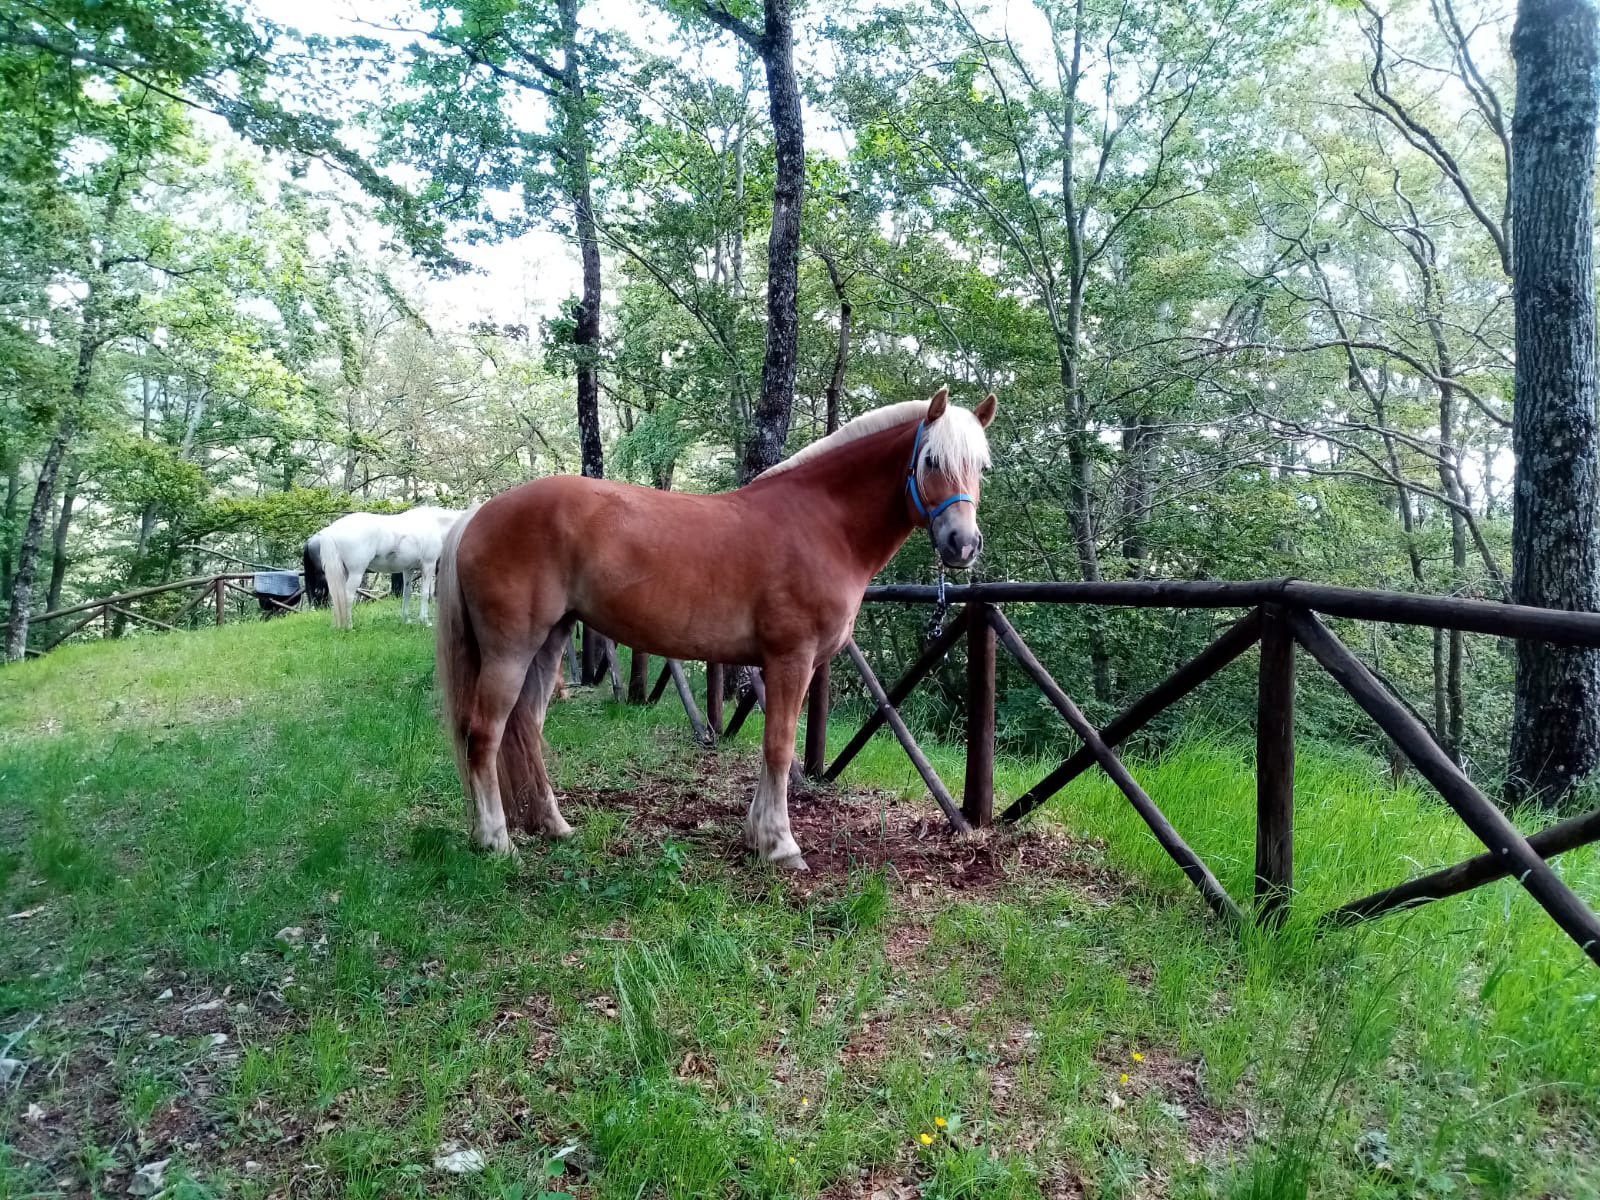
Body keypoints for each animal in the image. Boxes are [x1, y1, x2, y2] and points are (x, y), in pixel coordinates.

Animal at [314, 507, 464, 629]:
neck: (436, 524)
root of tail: (332, 530)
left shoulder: (408, 569)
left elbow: (407, 593)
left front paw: (405, 620)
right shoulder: (428, 565)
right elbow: (425, 594)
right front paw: (424, 621)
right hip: (356, 572)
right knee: (348, 596)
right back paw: (349, 626)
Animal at [435, 386, 997, 868]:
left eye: (981, 467)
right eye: (932, 460)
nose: (963, 544)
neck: (821, 523)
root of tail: (479, 513)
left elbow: (775, 748)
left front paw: (756, 835)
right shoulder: (790, 659)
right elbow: (779, 747)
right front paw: (780, 844)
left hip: (548, 642)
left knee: (526, 728)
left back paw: (553, 826)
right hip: (510, 649)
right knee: (484, 733)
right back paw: (495, 841)